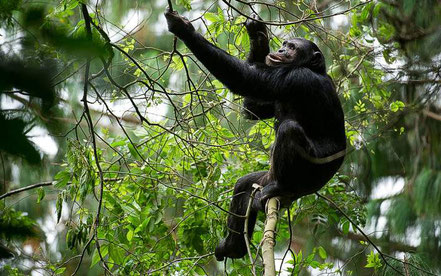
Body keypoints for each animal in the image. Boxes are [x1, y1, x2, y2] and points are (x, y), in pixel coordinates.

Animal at [163, 9, 346, 260]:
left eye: (292, 48)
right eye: (285, 44)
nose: (280, 50)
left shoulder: (296, 78)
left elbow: (248, 80)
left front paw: (183, 28)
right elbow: (253, 108)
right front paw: (258, 37)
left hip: (309, 178)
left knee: (289, 130)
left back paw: (281, 187)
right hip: (265, 180)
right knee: (245, 184)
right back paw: (234, 245)